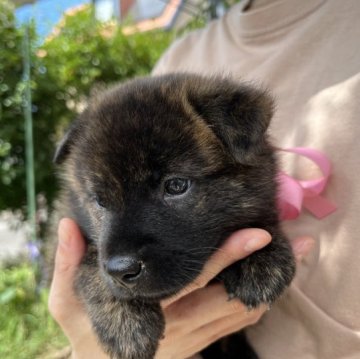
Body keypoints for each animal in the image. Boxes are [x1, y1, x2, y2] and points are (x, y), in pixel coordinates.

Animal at [53, 74, 296, 359]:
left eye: (176, 185)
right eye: (100, 201)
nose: (121, 270)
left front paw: (263, 258)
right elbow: (90, 261)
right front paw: (123, 320)